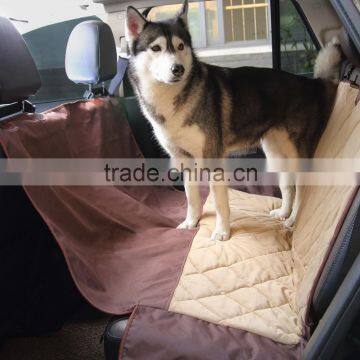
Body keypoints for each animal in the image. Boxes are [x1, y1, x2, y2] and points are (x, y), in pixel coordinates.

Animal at [125, 1, 342, 242]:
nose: (177, 69)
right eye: (156, 48)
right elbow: (191, 196)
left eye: (180, 46)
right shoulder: (184, 158)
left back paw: (293, 218)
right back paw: (283, 212)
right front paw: (191, 222)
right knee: (288, 186)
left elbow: (220, 203)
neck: (172, 98)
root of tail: (312, 83)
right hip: (276, 153)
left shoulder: (212, 157)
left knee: (302, 190)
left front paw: (222, 232)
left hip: (298, 155)